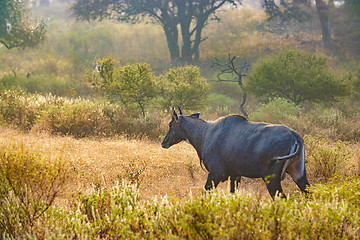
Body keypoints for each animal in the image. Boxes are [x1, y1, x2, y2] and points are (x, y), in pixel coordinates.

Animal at [161, 109, 310, 199]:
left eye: (170, 124)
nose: (164, 143)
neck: (205, 133)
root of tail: (296, 137)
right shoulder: (235, 175)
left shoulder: (216, 173)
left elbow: (205, 192)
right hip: (298, 173)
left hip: (271, 179)